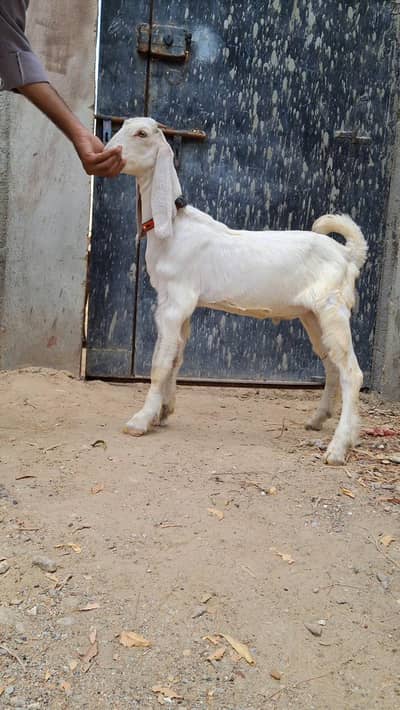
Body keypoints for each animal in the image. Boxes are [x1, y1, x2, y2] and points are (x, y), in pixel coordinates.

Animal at [106, 117, 367, 465]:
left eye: (141, 133)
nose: (109, 152)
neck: (174, 226)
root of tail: (348, 254)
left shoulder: (174, 301)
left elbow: (160, 362)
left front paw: (140, 420)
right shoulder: (181, 305)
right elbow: (175, 356)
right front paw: (164, 410)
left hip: (332, 307)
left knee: (352, 372)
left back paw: (338, 448)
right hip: (312, 314)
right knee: (331, 363)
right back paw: (319, 421)